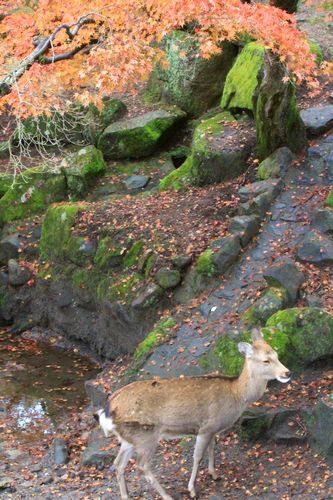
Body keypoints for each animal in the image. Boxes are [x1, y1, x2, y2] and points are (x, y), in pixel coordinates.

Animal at [94, 328, 290, 500]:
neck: (236, 395)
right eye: (266, 361)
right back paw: (167, 495)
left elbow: (212, 448)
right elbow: (197, 456)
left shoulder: (213, 428)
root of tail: (107, 410)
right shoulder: (206, 427)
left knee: (118, 463)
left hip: (128, 438)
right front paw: (192, 489)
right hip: (145, 435)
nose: (287, 373)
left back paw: (125, 495)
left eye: (276, 354)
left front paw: (214, 474)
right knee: (142, 467)